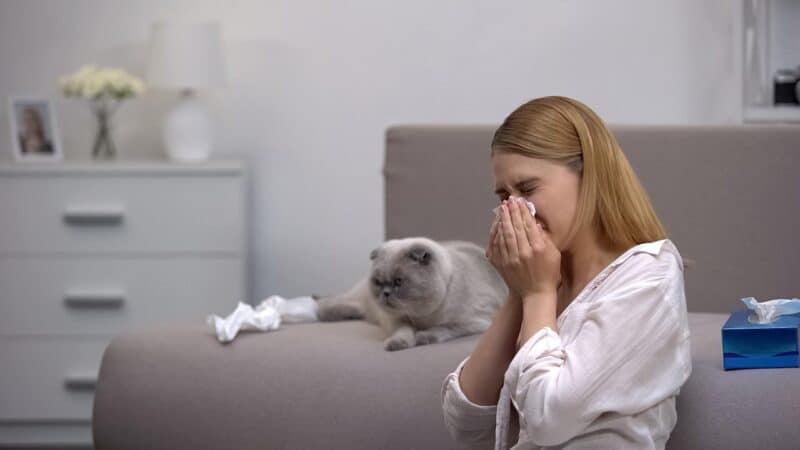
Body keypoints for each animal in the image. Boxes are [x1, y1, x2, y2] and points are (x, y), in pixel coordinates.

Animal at [312, 237, 506, 350]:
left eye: (399, 282)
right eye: (378, 282)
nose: (386, 293)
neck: (422, 317)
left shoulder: (474, 323)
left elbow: (442, 328)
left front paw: (422, 337)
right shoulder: (395, 319)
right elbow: (404, 332)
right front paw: (397, 344)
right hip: (364, 302)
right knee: (334, 303)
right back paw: (321, 309)